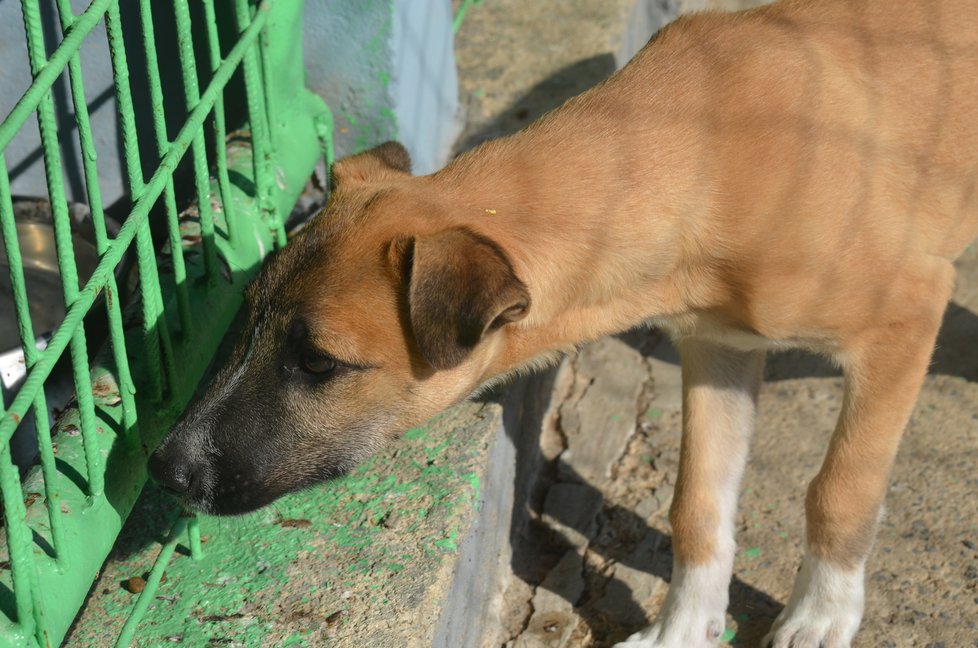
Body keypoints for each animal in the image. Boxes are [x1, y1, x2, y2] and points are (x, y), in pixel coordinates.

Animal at [149, 2, 976, 644]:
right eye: (247, 319)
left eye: (319, 362)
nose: (163, 469)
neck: (705, 152)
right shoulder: (718, 347)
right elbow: (698, 502)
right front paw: (683, 627)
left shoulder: (906, 318)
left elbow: (842, 488)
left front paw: (822, 615)